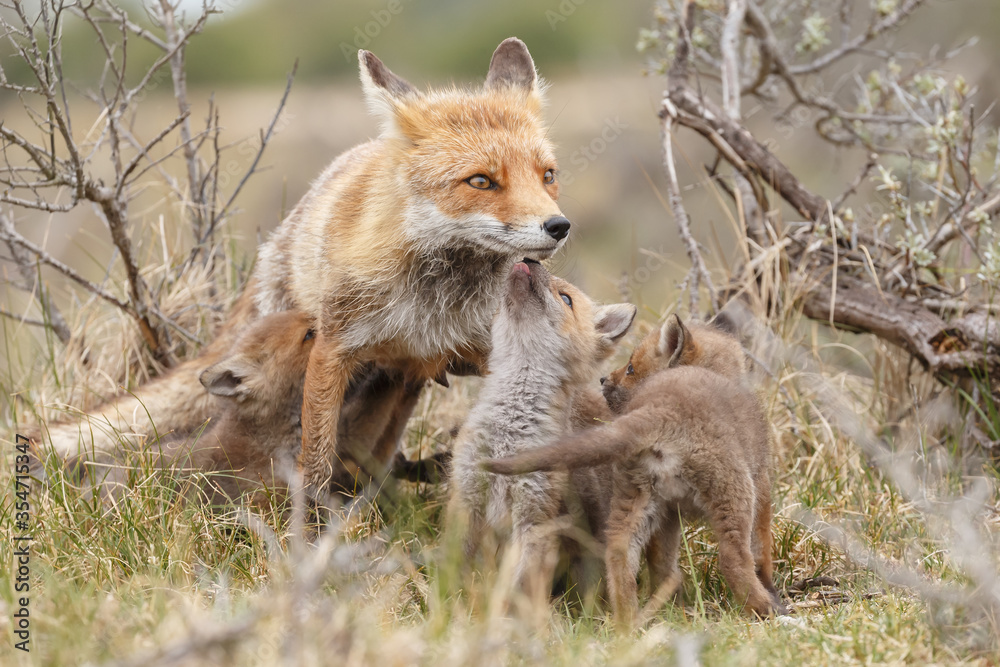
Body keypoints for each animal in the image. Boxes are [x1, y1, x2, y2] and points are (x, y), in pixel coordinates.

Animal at [36, 38, 569, 498]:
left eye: (548, 175)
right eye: (480, 181)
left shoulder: (491, 346)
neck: (433, 304)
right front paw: (309, 528)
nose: (559, 226)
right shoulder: (334, 346)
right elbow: (314, 462)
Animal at [446, 259, 635, 605]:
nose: (530, 260)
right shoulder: (466, 496)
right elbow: (452, 569)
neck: (507, 436)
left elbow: (518, 587)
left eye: (566, 299)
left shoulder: (536, 515)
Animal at [484, 314, 787, 627]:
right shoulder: (761, 485)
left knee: (619, 552)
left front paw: (676, 607)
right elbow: (762, 550)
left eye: (630, 369)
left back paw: (628, 621)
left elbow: (662, 565)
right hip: (732, 493)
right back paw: (766, 609)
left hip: (636, 495)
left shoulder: (669, 515)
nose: (602, 379)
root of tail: (658, 409)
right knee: (731, 558)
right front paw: (771, 590)